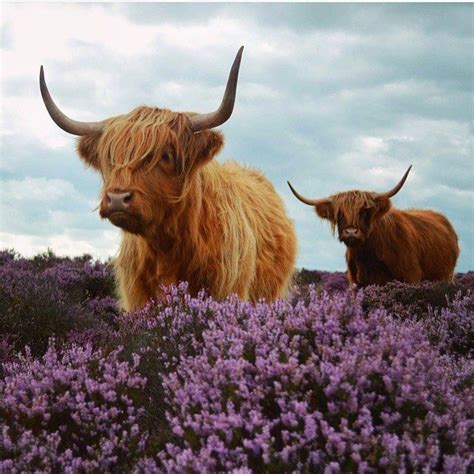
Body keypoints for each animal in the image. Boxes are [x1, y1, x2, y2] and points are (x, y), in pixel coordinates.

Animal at [288, 167, 460, 286]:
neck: (367, 256)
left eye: (365, 211)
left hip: (446, 276)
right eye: (340, 213)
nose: (351, 232)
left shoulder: (411, 276)